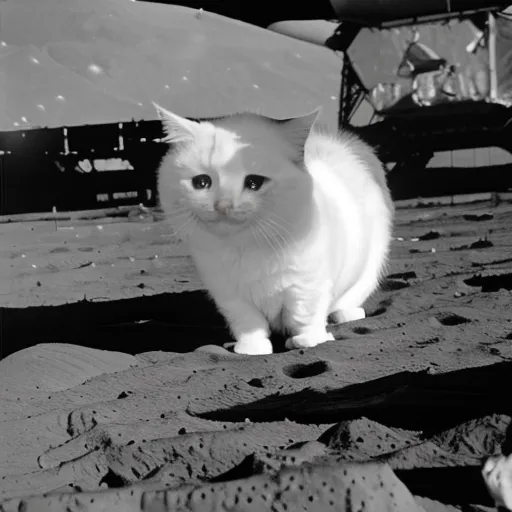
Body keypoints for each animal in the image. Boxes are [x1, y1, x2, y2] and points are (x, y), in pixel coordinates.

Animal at [154, 102, 394, 354]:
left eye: (254, 183)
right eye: (201, 182)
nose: (223, 205)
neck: (247, 245)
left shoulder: (307, 285)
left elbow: (303, 315)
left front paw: (308, 340)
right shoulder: (230, 294)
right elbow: (248, 322)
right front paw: (251, 348)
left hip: (369, 267)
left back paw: (346, 314)